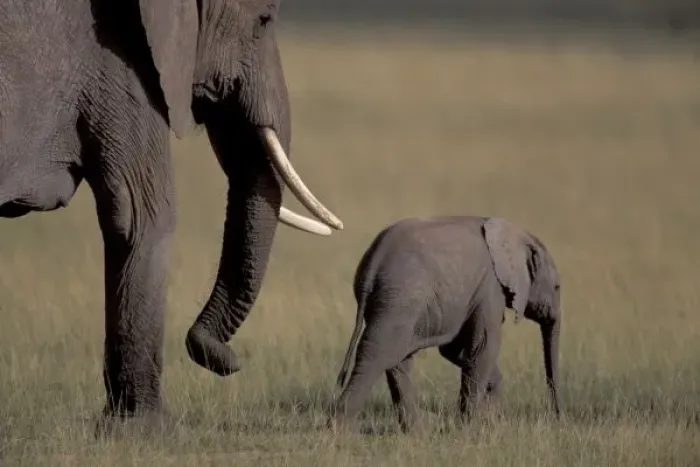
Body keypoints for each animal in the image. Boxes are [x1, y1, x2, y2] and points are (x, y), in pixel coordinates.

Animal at [331, 216, 562, 433]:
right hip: (401, 298)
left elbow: (456, 349)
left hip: (400, 304)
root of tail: (375, 258)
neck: (519, 235)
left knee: (396, 358)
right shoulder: (490, 288)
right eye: (557, 287)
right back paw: (340, 431)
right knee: (375, 354)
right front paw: (471, 427)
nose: (558, 417)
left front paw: (488, 415)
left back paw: (417, 431)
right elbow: (483, 347)